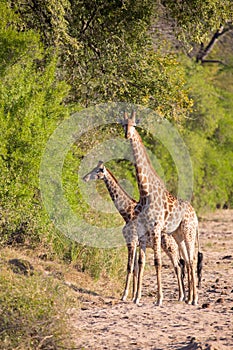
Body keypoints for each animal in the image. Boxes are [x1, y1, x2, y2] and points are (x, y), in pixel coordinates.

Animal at [83, 161, 185, 300]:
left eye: (97, 170)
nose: (84, 178)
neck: (127, 213)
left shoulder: (131, 241)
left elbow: (129, 267)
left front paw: (125, 295)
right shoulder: (135, 243)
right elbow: (136, 268)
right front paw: (134, 296)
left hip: (170, 247)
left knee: (177, 266)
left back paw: (180, 296)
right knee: (179, 266)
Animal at [121, 110, 203, 304]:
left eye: (134, 125)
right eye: (123, 124)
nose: (127, 135)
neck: (145, 192)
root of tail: (195, 215)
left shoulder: (156, 228)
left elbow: (157, 261)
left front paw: (159, 299)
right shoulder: (144, 231)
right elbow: (141, 262)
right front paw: (136, 298)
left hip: (188, 232)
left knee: (191, 259)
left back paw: (194, 299)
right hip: (178, 235)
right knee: (187, 259)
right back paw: (189, 298)